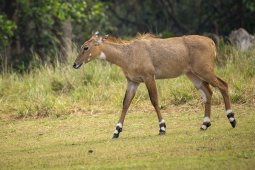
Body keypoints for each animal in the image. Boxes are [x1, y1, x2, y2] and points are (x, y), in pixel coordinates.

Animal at [72, 31, 236, 138]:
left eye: (85, 47)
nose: (75, 64)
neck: (128, 54)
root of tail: (211, 42)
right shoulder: (133, 81)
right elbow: (126, 103)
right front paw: (116, 131)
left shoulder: (149, 77)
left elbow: (154, 100)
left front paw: (162, 128)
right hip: (192, 74)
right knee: (207, 92)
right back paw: (204, 124)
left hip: (205, 70)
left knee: (223, 85)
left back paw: (232, 119)